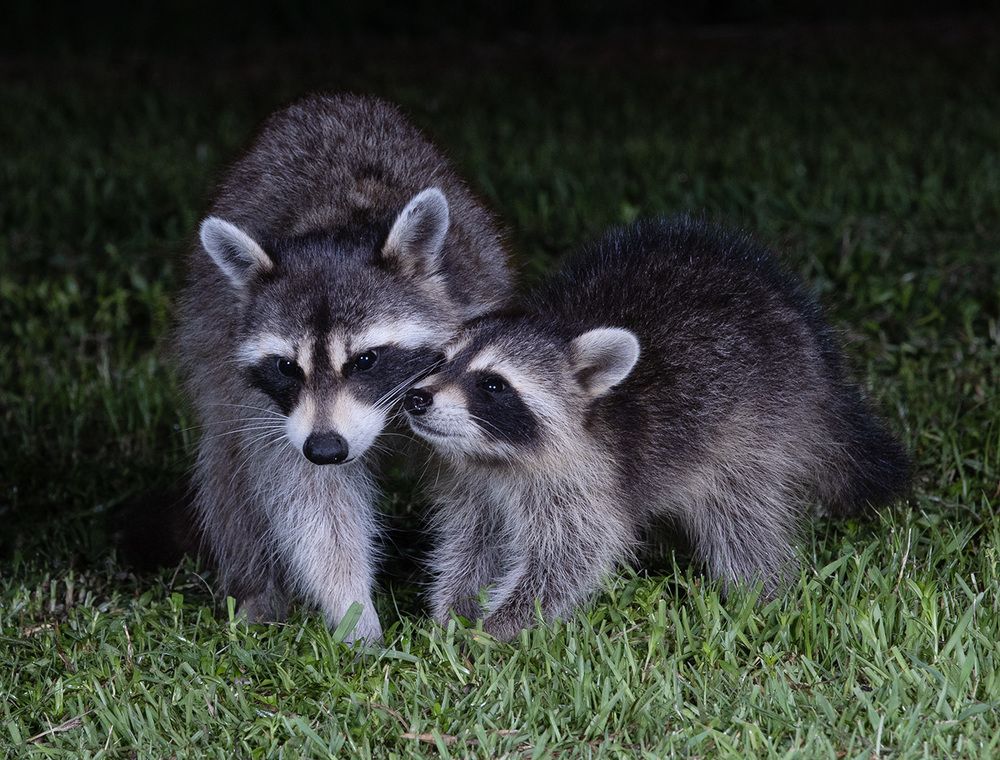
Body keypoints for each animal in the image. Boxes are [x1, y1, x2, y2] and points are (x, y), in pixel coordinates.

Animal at [175, 94, 511, 642]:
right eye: (287, 367)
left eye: (366, 360)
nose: (327, 449)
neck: (335, 223)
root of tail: (327, 100)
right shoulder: (273, 413)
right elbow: (314, 503)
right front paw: (355, 614)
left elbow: (480, 502)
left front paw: (460, 607)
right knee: (229, 471)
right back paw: (256, 590)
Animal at [402, 217, 909, 641]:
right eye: (441, 361)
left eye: (493, 384)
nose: (417, 398)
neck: (497, 456)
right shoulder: (473, 483)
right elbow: (471, 540)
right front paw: (455, 609)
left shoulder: (588, 482)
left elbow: (572, 556)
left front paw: (502, 624)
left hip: (755, 427)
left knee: (741, 517)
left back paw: (761, 593)